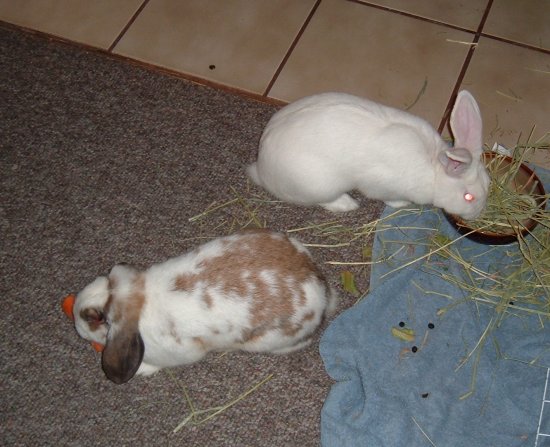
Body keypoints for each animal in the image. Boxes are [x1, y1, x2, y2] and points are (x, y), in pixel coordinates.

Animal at [248, 90, 490, 220]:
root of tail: (261, 169)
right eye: (468, 197)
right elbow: (389, 198)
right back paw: (347, 204)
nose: (476, 215)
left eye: (489, 183)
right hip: (319, 185)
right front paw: (402, 204)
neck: (434, 168)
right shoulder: (381, 186)